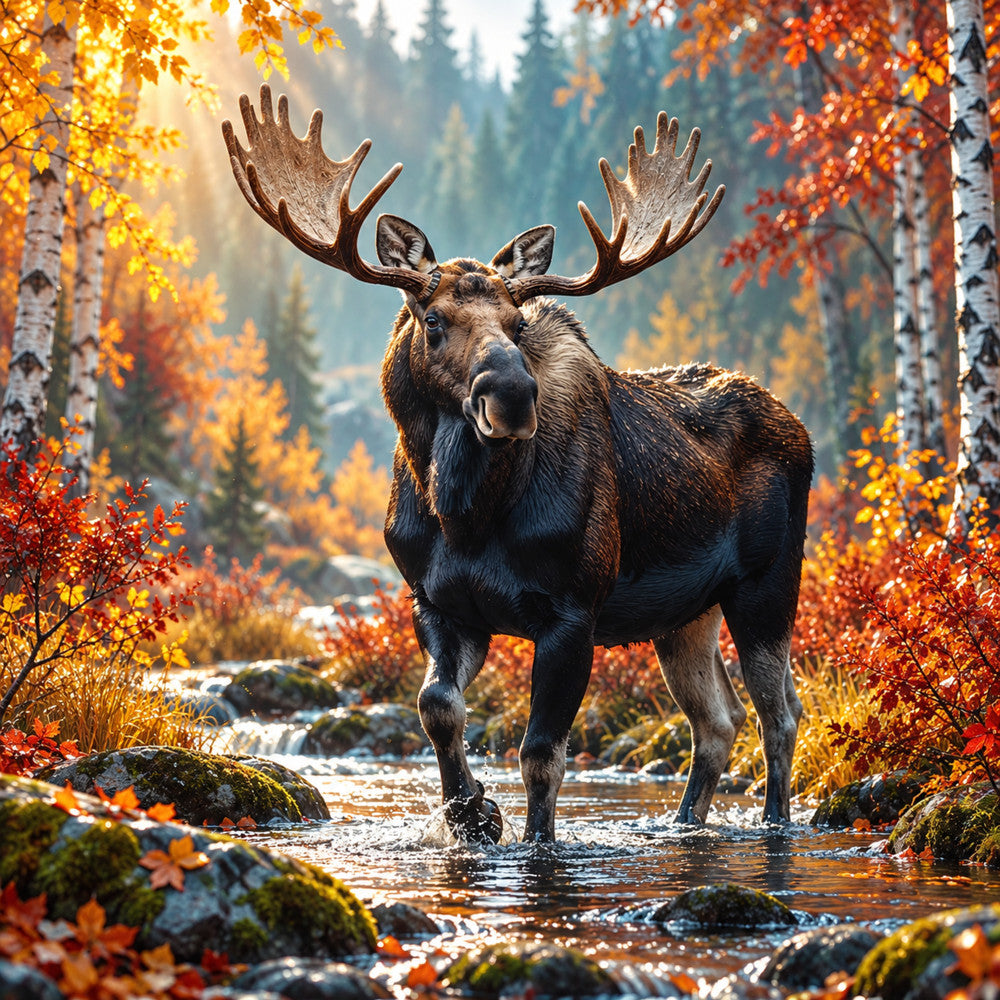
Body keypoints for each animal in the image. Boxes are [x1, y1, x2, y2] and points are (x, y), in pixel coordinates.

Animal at [223, 85, 814, 844]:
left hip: (767, 588)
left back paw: (774, 824)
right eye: (433, 318)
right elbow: (437, 707)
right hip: (686, 613)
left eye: (518, 322)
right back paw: (685, 823)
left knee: (780, 714)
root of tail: (800, 430)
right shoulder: (439, 602)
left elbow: (540, 755)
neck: (467, 513)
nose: (510, 393)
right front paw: (472, 812)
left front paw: (531, 838)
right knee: (717, 721)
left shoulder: (574, 610)